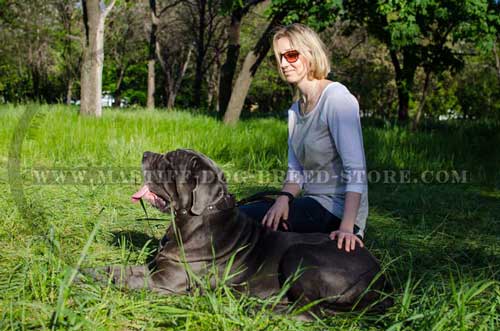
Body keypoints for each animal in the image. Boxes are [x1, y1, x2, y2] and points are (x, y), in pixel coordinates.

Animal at [92, 150, 392, 314]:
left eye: (168, 163)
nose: (144, 154)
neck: (192, 221)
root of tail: (382, 277)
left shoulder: (166, 281)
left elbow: (123, 278)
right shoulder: (158, 269)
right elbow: (118, 269)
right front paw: (89, 269)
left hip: (300, 255)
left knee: (310, 312)